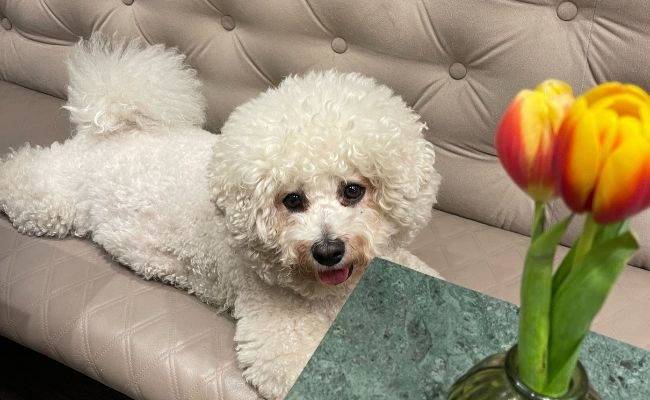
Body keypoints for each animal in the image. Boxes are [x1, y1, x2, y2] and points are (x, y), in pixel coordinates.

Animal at [0, 35, 440, 400]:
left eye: (352, 190)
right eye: (292, 200)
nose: (328, 250)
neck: (331, 292)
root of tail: (113, 130)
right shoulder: (281, 339)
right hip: (53, 198)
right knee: (21, 175)